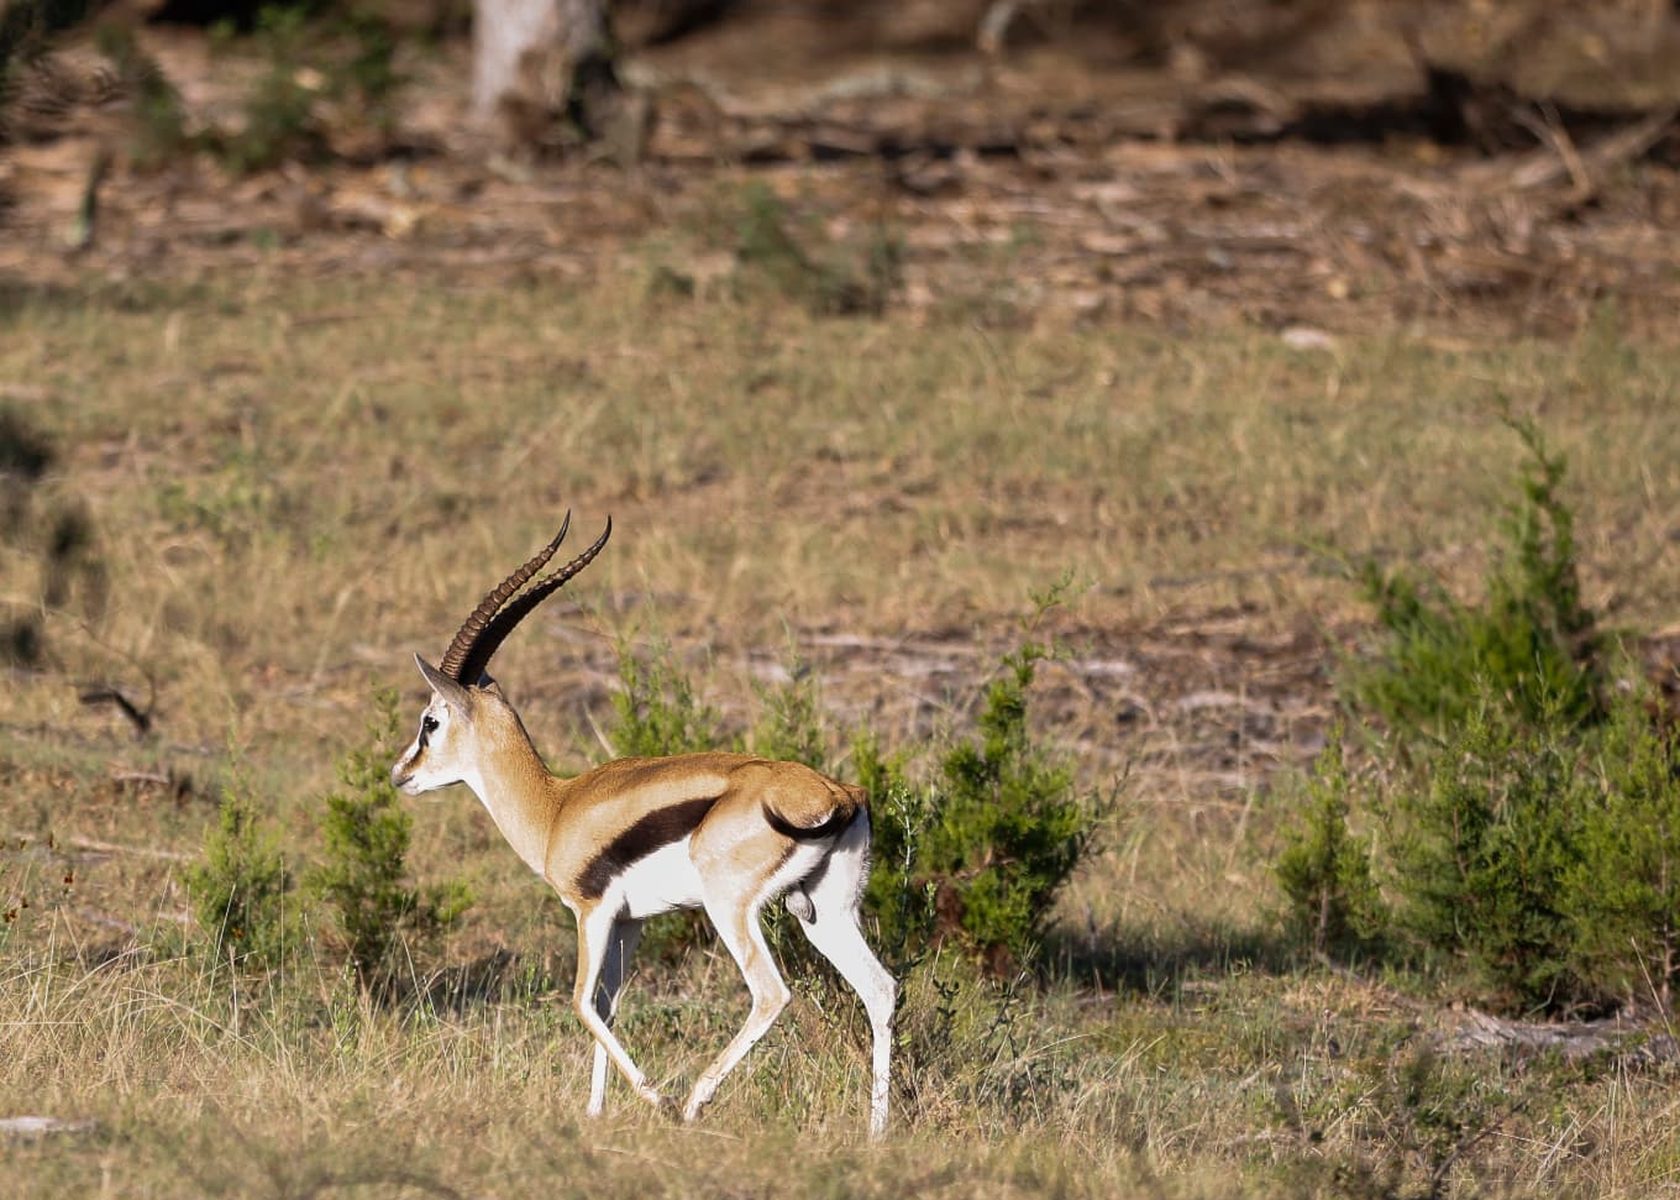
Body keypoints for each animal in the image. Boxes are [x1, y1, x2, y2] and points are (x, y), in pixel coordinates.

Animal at [390, 514, 896, 1136]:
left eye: (430, 722)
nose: (400, 774)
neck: (556, 807)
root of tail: (837, 795)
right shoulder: (630, 923)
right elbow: (607, 1005)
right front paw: (594, 1111)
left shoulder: (591, 912)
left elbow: (581, 1002)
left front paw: (655, 1100)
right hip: (826, 912)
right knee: (880, 989)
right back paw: (876, 1133)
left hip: (732, 909)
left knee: (771, 993)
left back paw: (694, 1102)